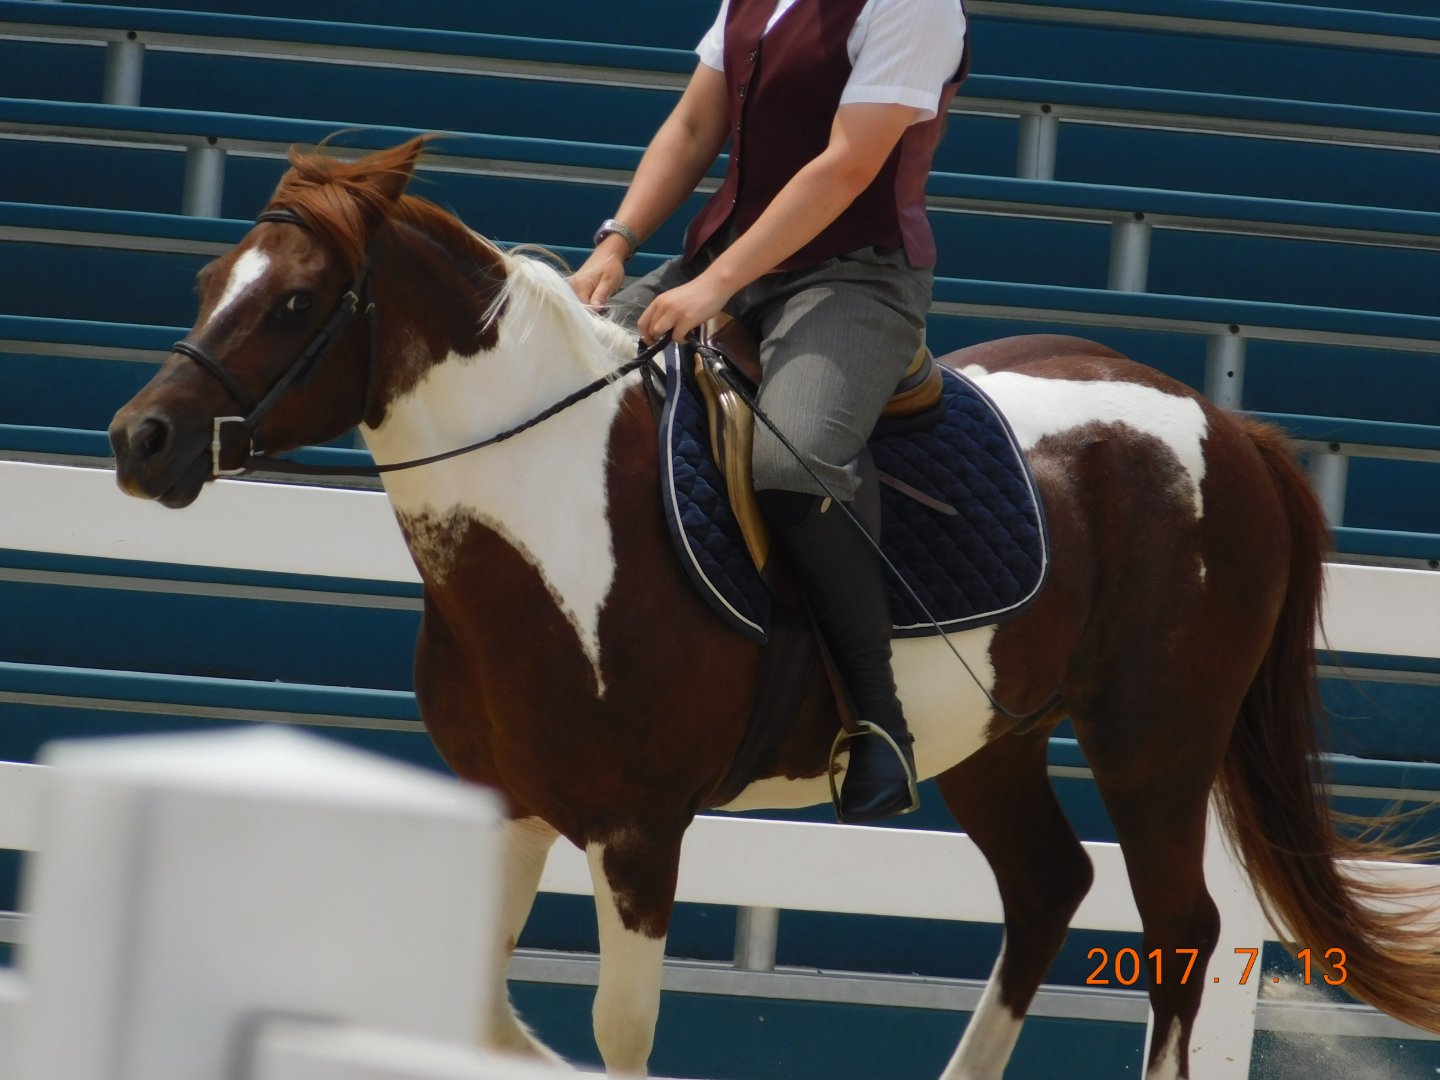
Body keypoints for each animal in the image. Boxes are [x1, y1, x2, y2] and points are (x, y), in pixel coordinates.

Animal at [108, 137, 1440, 1079]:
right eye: (213, 278)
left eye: (294, 303)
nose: (141, 440)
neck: (546, 513)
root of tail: (1225, 423)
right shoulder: (511, 804)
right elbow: (475, 1009)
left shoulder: (639, 833)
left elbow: (618, 1030)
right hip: (993, 737)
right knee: (1047, 888)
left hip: (1154, 745)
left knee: (1178, 934)